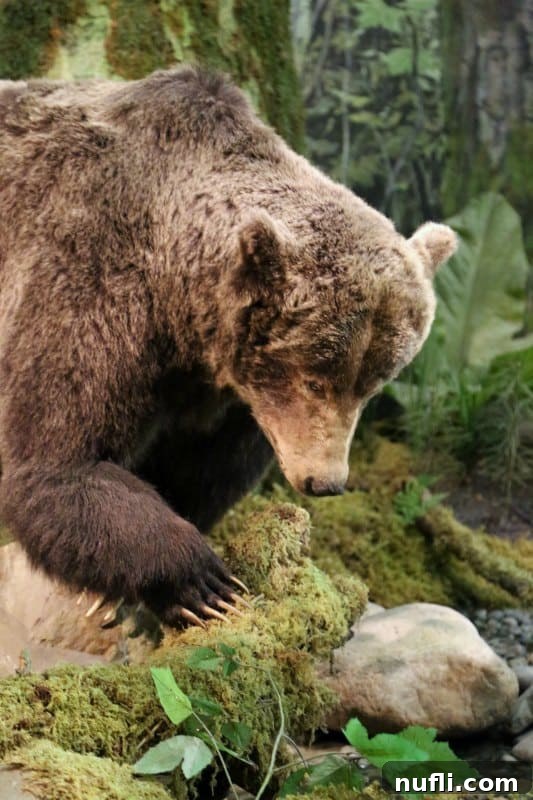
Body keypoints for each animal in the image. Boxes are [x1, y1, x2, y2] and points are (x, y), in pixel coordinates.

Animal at [0, 67, 456, 627]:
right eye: (316, 379)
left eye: (370, 387)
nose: (325, 481)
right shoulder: (91, 280)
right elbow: (61, 461)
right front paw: (201, 582)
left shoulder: (230, 401)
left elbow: (204, 471)